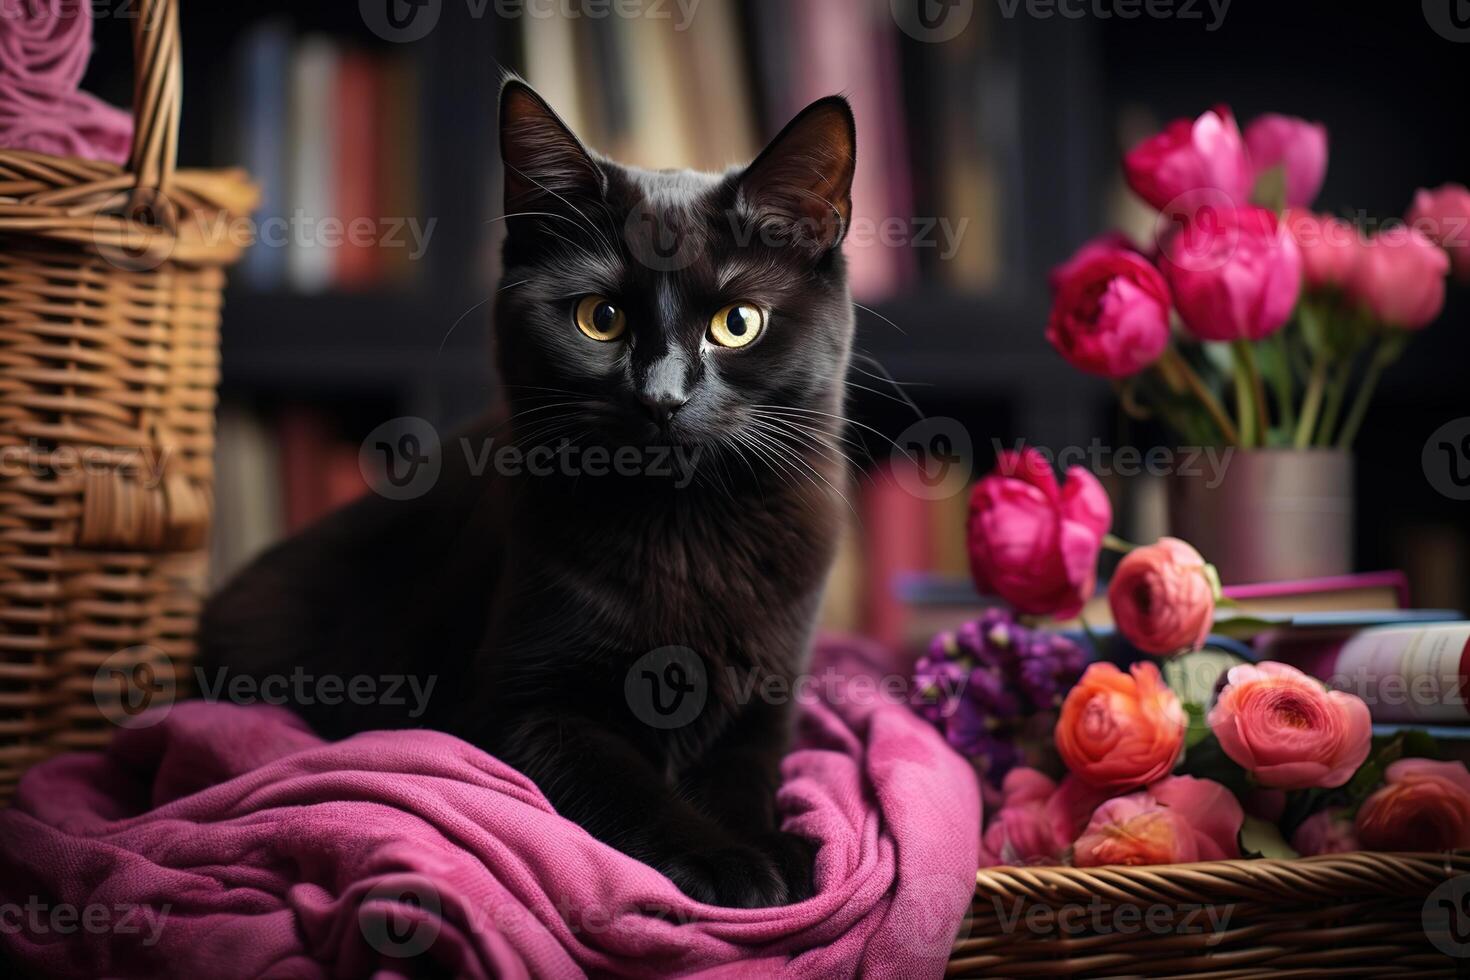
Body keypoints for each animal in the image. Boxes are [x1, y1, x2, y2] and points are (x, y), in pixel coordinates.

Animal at [201, 80, 858, 910]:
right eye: (600, 318)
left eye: (736, 323)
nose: (662, 397)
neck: (683, 529)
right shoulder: (515, 711)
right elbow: (625, 782)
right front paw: (731, 863)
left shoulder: (767, 706)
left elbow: (745, 778)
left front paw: (778, 850)